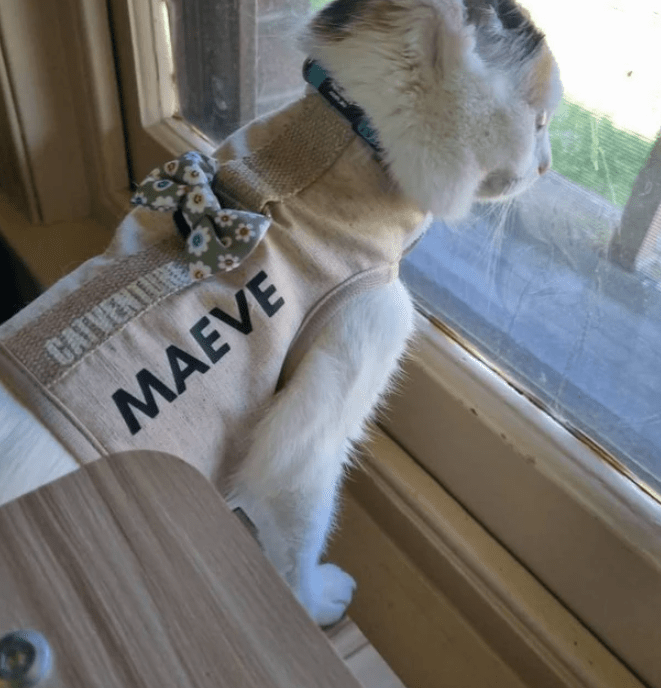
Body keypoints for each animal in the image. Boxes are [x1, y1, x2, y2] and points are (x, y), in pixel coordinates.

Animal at [0, 0, 560, 628]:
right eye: (541, 122)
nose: (548, 167)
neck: (342, 136)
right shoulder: (315, 430)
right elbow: (297, 537)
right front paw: (315, 602)